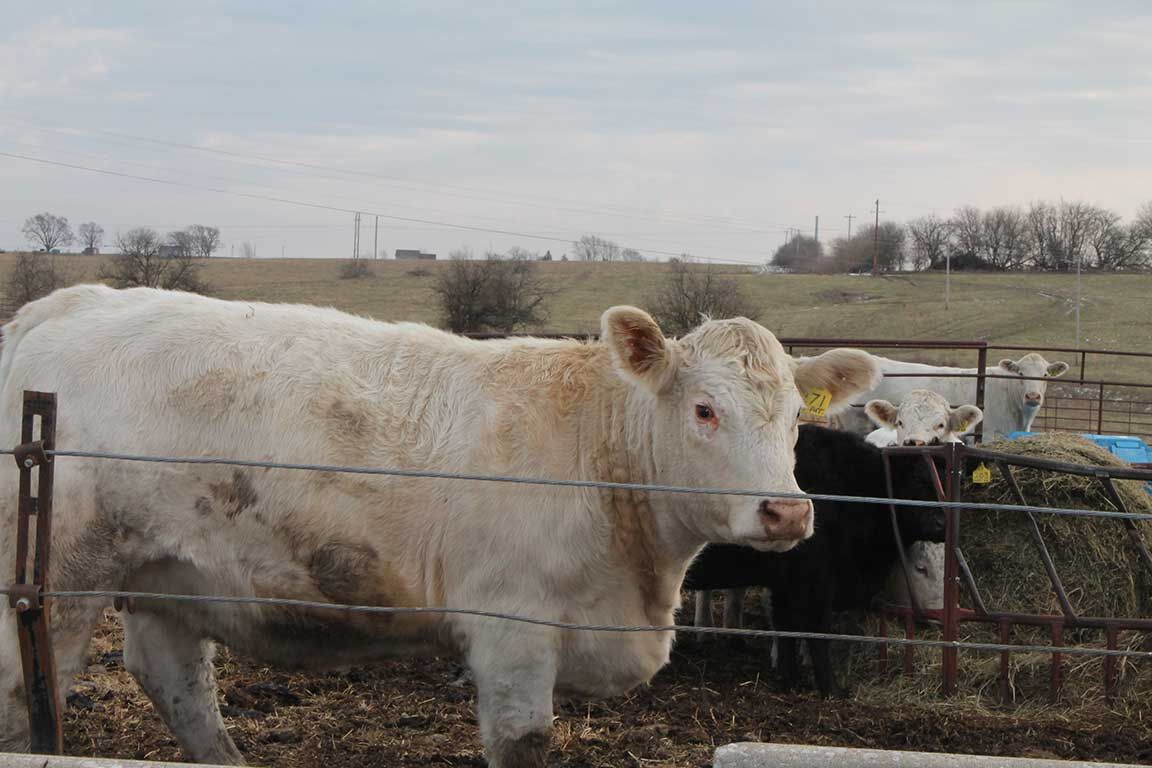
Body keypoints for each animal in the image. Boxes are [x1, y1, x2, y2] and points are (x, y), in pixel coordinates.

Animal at [0, 285, 880, 767]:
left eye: (797, 416)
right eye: (704, 409)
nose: (787, 510)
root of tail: (69, 303)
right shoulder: (513, 629)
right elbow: (523, 742)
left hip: (169, 573)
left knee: (176, 681)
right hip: (61, 574)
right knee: (27, 685)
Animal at [683, 424, 944, 697]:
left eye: (944, 484)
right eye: (916, 479)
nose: (941, 523)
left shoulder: (785, 586)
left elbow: (787, 631)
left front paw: (790, 679)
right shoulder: (815, 583)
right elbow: (817, 635)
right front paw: (832, 689)